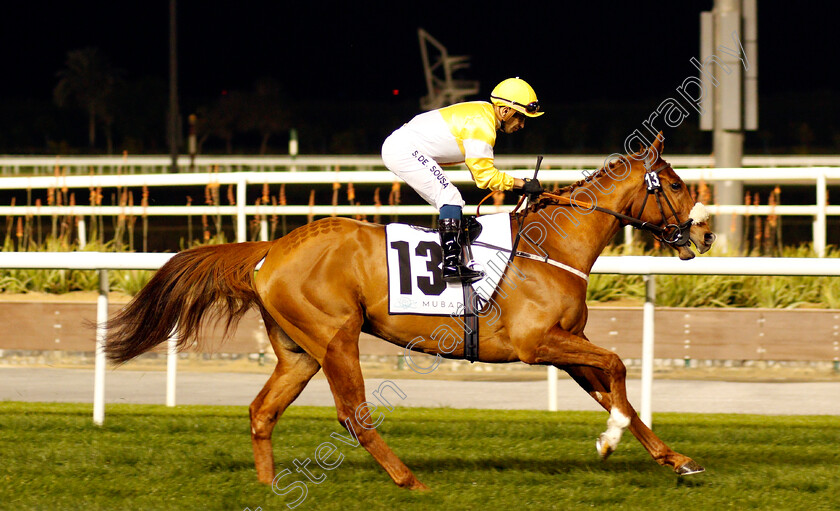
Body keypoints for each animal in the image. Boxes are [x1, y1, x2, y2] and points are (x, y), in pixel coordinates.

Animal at [105, 134, 716, 490]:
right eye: (676, 184)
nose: (705, 233)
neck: (553, 245)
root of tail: (269, 250)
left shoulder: (564, 346)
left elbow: (618, 394)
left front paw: (676, 459)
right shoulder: (536, 342)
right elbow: (617, 367)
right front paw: (610, 442)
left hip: (299, 351)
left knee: (262, 411)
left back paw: (268, 486)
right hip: (336, 338)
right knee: (353, 414)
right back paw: (410, 481)